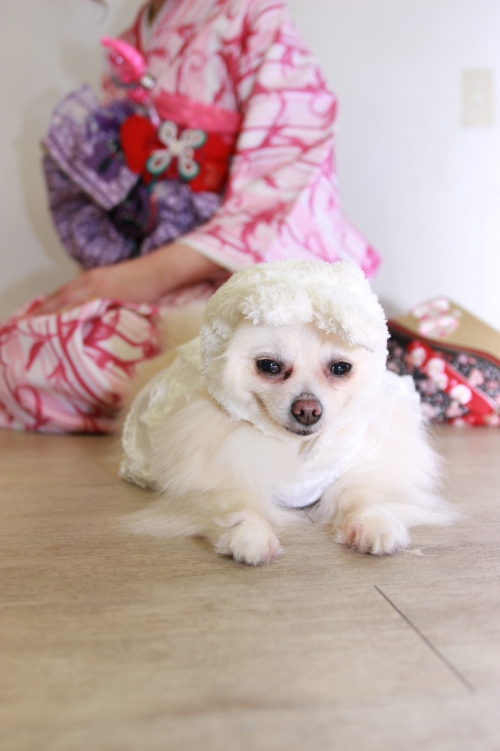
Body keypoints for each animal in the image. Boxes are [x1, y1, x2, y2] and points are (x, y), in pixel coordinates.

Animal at [121, 260, 453, 565]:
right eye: (269, 366)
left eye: (340, 368)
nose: (307, 409)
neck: (296, 448)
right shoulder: (211, 480)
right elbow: (235, 503)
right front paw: (250, 533)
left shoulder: (364, 463)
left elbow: (361, 492)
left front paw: (373, 522)